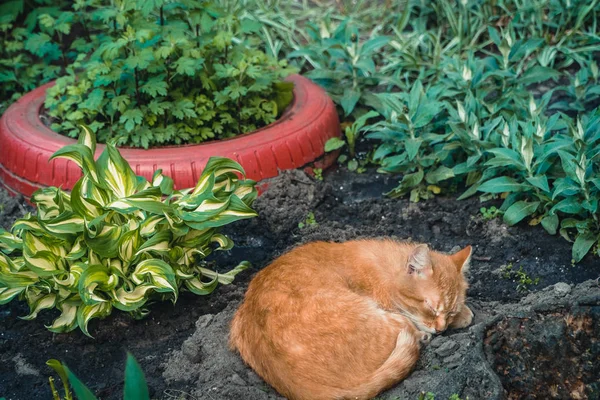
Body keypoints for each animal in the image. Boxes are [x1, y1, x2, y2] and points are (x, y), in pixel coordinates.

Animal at [230, 239, 474, 398]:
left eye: (450, 312)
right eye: (431, 307)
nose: (441, 330)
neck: (385, 271)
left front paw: (463, 314)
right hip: (387, 321)